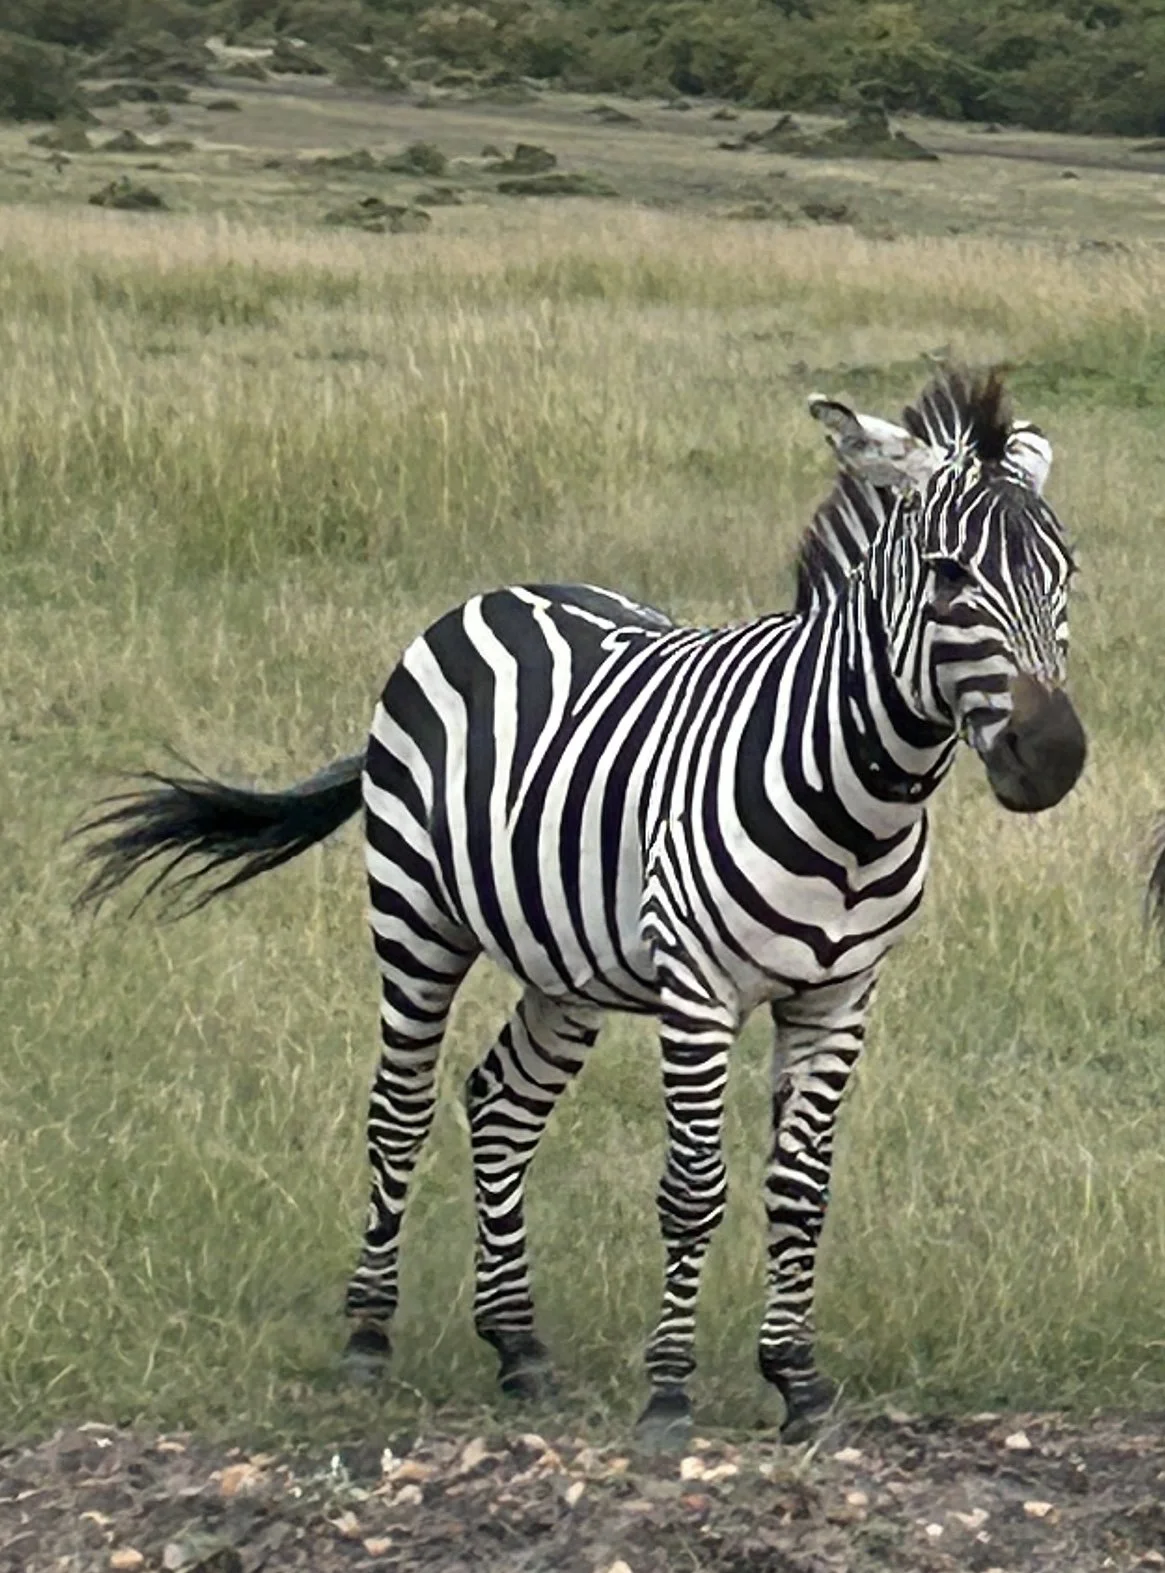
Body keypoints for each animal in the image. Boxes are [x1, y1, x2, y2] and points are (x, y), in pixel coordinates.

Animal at [76, 367, 1086, 1446]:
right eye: (947, 575)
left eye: (1066, 573)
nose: (1052, 757)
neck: (854, 803)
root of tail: (500, 593)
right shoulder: (696, 990)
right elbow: (692, 1190)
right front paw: (669, 1393)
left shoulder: (840, 997)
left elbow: (800, 1193)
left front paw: (798, 1383)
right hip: (414, 918)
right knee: (397, 1111)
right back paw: (367, 1335)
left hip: (570, 966)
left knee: (500, 1103)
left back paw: (518, 1343)